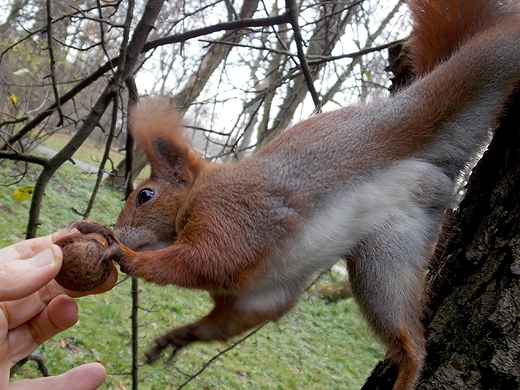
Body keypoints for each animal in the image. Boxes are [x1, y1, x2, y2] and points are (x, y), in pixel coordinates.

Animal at [73, 0, 520, 386]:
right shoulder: (260, 292)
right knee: (410, 334)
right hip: (386, 256)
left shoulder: (234, 216)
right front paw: (180, 336)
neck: (201, 194)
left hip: (474, 70)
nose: (121, 231)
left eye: (145, 196)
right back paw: (409, 367)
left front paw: (120, 250)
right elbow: (233, 319)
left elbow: (205, 261)